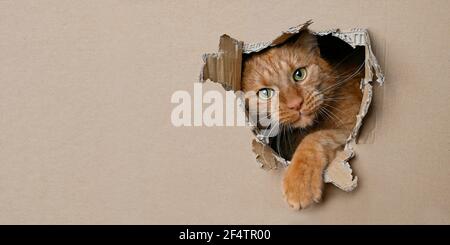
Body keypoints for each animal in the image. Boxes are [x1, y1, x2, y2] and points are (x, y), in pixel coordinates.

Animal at [241, 29, 364, 210]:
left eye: (299, 74)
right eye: (265, 93)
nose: (296, 104)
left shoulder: (351, 129)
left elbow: (315, 138)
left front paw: (298, 182)